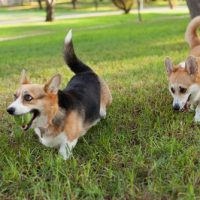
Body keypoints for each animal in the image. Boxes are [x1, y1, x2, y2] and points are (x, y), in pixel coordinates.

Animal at [6, 30, 112, 159]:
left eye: (28, 97)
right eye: (15, 96)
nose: (9, 110)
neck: (53, 115)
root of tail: (85, 71)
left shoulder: (69, 140)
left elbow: (62, 154)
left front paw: (59, 161)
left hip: (106, 102)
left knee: (103, 111)